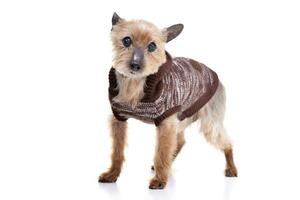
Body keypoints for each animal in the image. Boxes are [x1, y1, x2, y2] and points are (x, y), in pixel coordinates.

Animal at [99, 12, 238, 189]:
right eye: (126, 40)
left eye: (152, 46)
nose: (135, 65)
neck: (135, 84)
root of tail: (214, 75)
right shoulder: (119, 119)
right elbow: (117, 152)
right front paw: (112, 174)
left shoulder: (166, 123)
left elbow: (162, 152)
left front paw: (159, 180)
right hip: (182, 118)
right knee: (180, 141)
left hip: (210, 123)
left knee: (227, 143)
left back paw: (231, 168)